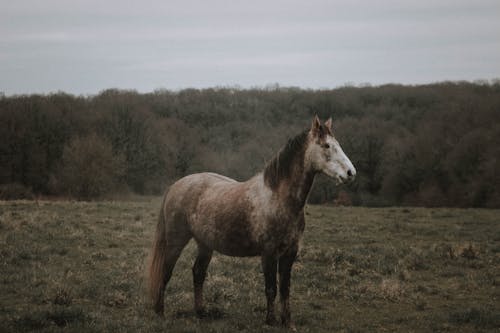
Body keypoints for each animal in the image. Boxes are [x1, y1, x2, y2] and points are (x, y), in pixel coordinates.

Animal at [148, 115, 356, 326]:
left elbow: (285, 289)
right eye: (326, 145)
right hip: (176, 241)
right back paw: (160, 312)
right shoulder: (269, 253)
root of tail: (176, 185)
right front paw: (270, 321)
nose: (350, 173)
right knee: (165, 273)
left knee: (198, 273)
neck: (279, 198)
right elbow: (271, 289)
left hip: (205, 244)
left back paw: (201, 312)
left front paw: (287, 322)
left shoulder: (290, 252)